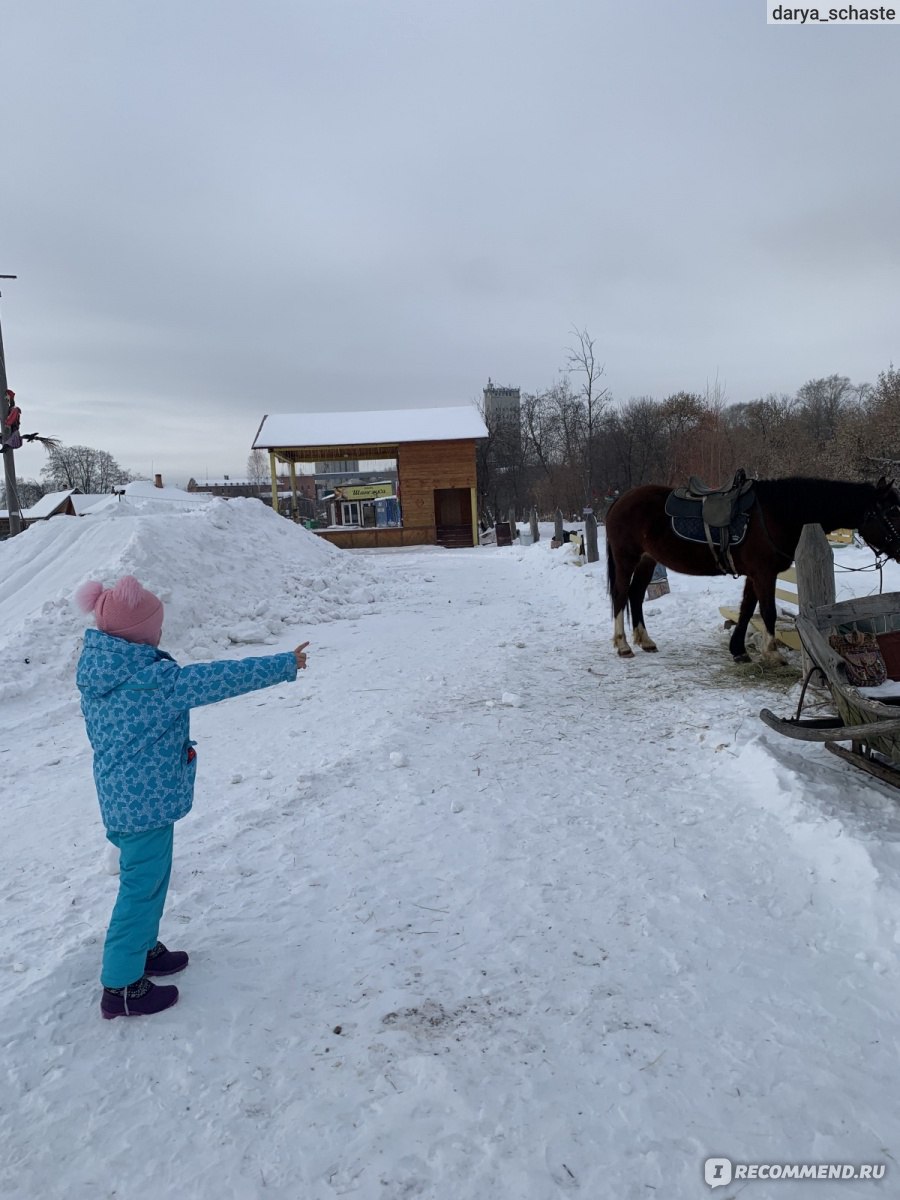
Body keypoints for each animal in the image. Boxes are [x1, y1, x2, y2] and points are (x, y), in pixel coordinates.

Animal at [602, 475, 900, 667]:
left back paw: (645, 641)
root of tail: (619, 501)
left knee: (636, 596)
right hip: (627, 558)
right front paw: (773, 653)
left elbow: (746, 609)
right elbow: (767, 612)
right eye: (892, 512)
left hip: (647, 560)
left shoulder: (754, 575)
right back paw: (623, 645)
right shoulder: (764, 574)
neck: (777, 513)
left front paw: (738, 650)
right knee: (621, 595)